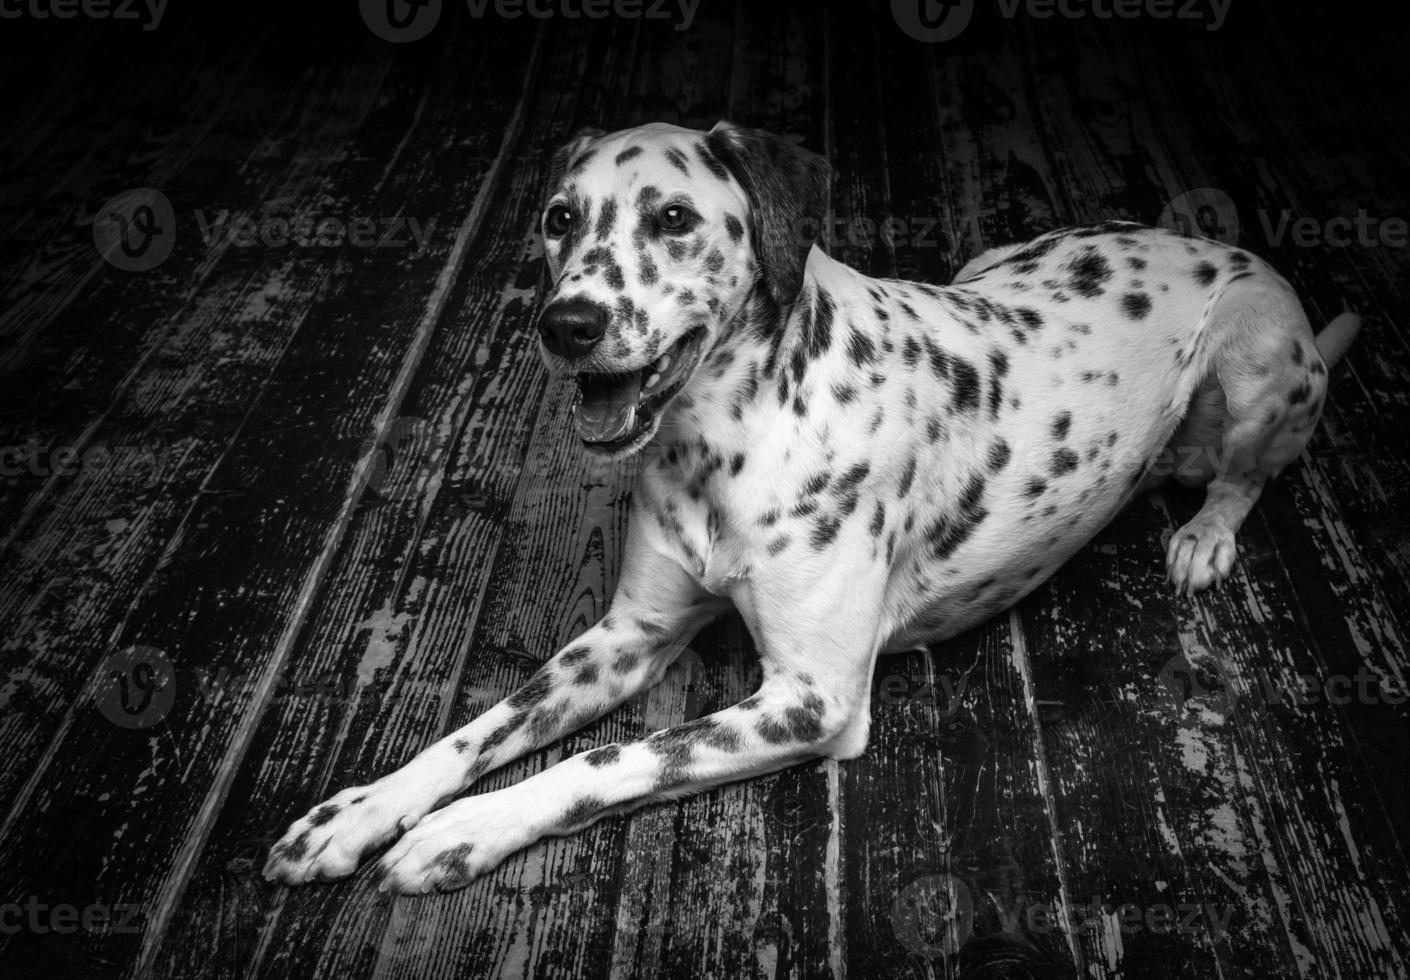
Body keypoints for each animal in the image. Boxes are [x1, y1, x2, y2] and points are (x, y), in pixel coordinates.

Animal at [262, 119, 1353, 891]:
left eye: (673, 219)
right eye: (559, 217)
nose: (564, 322)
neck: (722, 441)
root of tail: (1210, 241)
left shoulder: (810, 697)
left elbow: (613, 756)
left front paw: (463, 828)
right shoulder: (628, 633)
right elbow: (482, 726)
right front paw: (363, 810)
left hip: (1258, 359)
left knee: (1247, 472)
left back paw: (1205, 533)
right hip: (987, 266)